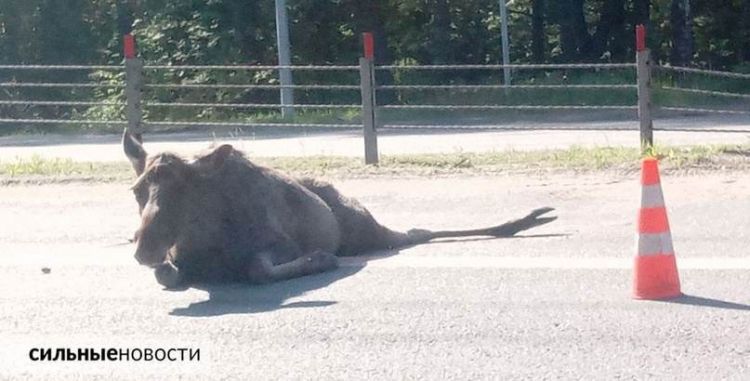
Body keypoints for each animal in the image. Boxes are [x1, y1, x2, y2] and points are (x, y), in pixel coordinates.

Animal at [125, 129, 560, 286]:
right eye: (135, 190)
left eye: (187, 189)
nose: (144, 248)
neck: (204, 240)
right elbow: (167, 274)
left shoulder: (278, 243)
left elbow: (257, 269)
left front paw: (320, 259)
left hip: (362, 228)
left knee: (412, 233)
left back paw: (525, 219)